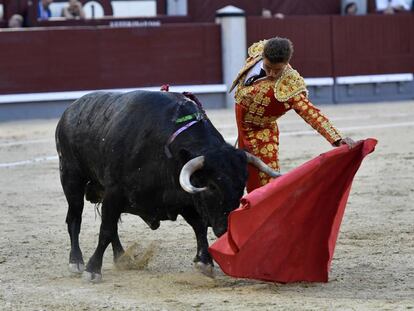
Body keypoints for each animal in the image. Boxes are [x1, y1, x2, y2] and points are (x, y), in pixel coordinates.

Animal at [54, 90, 274, 282]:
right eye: (211, 186)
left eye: (242, 184)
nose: (226, 228)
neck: (165, 150)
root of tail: (69, 111)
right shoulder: (114, 192)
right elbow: (105, 230)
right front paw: (92, 270)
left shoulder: (185, 197)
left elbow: (199, 226)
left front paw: (205, 262)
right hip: (71, 178)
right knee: (75, 218)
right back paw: (76, 261)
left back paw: (122, 258)